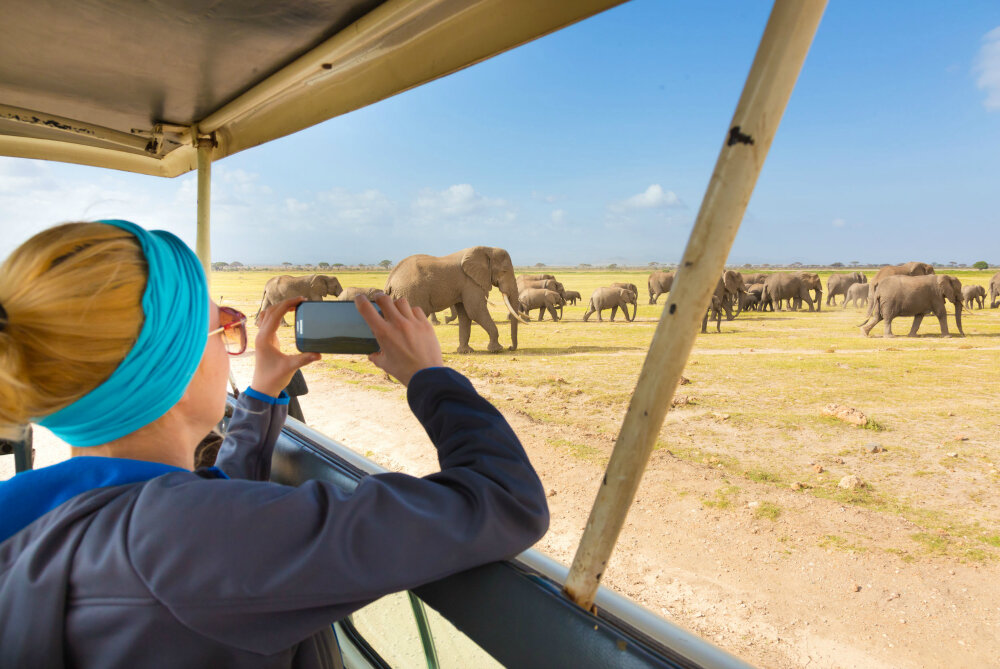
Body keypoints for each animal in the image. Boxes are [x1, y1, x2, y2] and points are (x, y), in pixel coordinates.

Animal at [382, 244, 528, 350]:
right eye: (504, 271)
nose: (510, 347)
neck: (487, 249)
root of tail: (390, 280)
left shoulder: (464, 285)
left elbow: (465, 315)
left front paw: (466, 351)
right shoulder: (470, 282)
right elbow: (475, 311)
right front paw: (496, 349)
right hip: (411, 293)